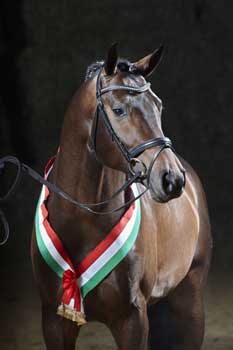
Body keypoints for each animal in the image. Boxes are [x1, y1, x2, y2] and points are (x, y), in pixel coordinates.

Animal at [30, 44, 211, 350]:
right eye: (118, 110)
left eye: (158, 106)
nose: (173, 179)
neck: (84, 216)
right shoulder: (54, 321)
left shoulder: (132, 320)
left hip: (191, 300)